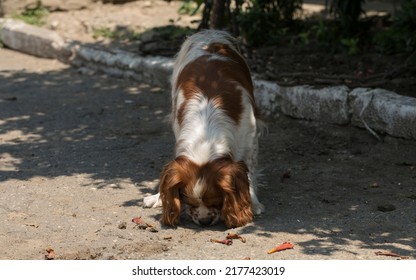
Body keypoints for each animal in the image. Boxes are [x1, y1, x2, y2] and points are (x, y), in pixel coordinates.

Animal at [145, 30, 264, 228]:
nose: (204, 221)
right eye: (188, 200)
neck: (205, 134)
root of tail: (209, 34)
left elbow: (251, 171)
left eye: (217, 201)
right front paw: (159, 198)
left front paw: (253, 202)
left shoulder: (250, 136)